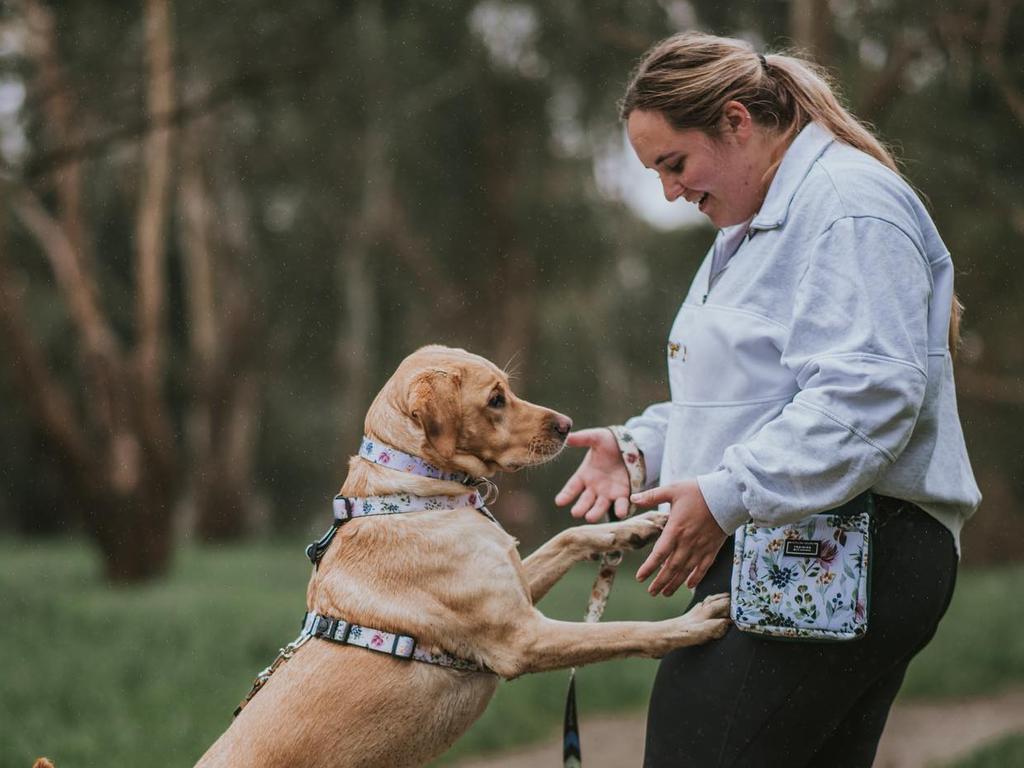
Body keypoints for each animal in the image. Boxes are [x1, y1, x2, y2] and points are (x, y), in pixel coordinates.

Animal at [195, 346, 729, 765]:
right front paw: (691, 624)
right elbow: (623, 632)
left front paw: (636, 526)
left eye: (508, 390)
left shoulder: (518, 587)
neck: (414, 491)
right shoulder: (523, 638)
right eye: (495, 400)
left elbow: (568, 536)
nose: (568, 426)